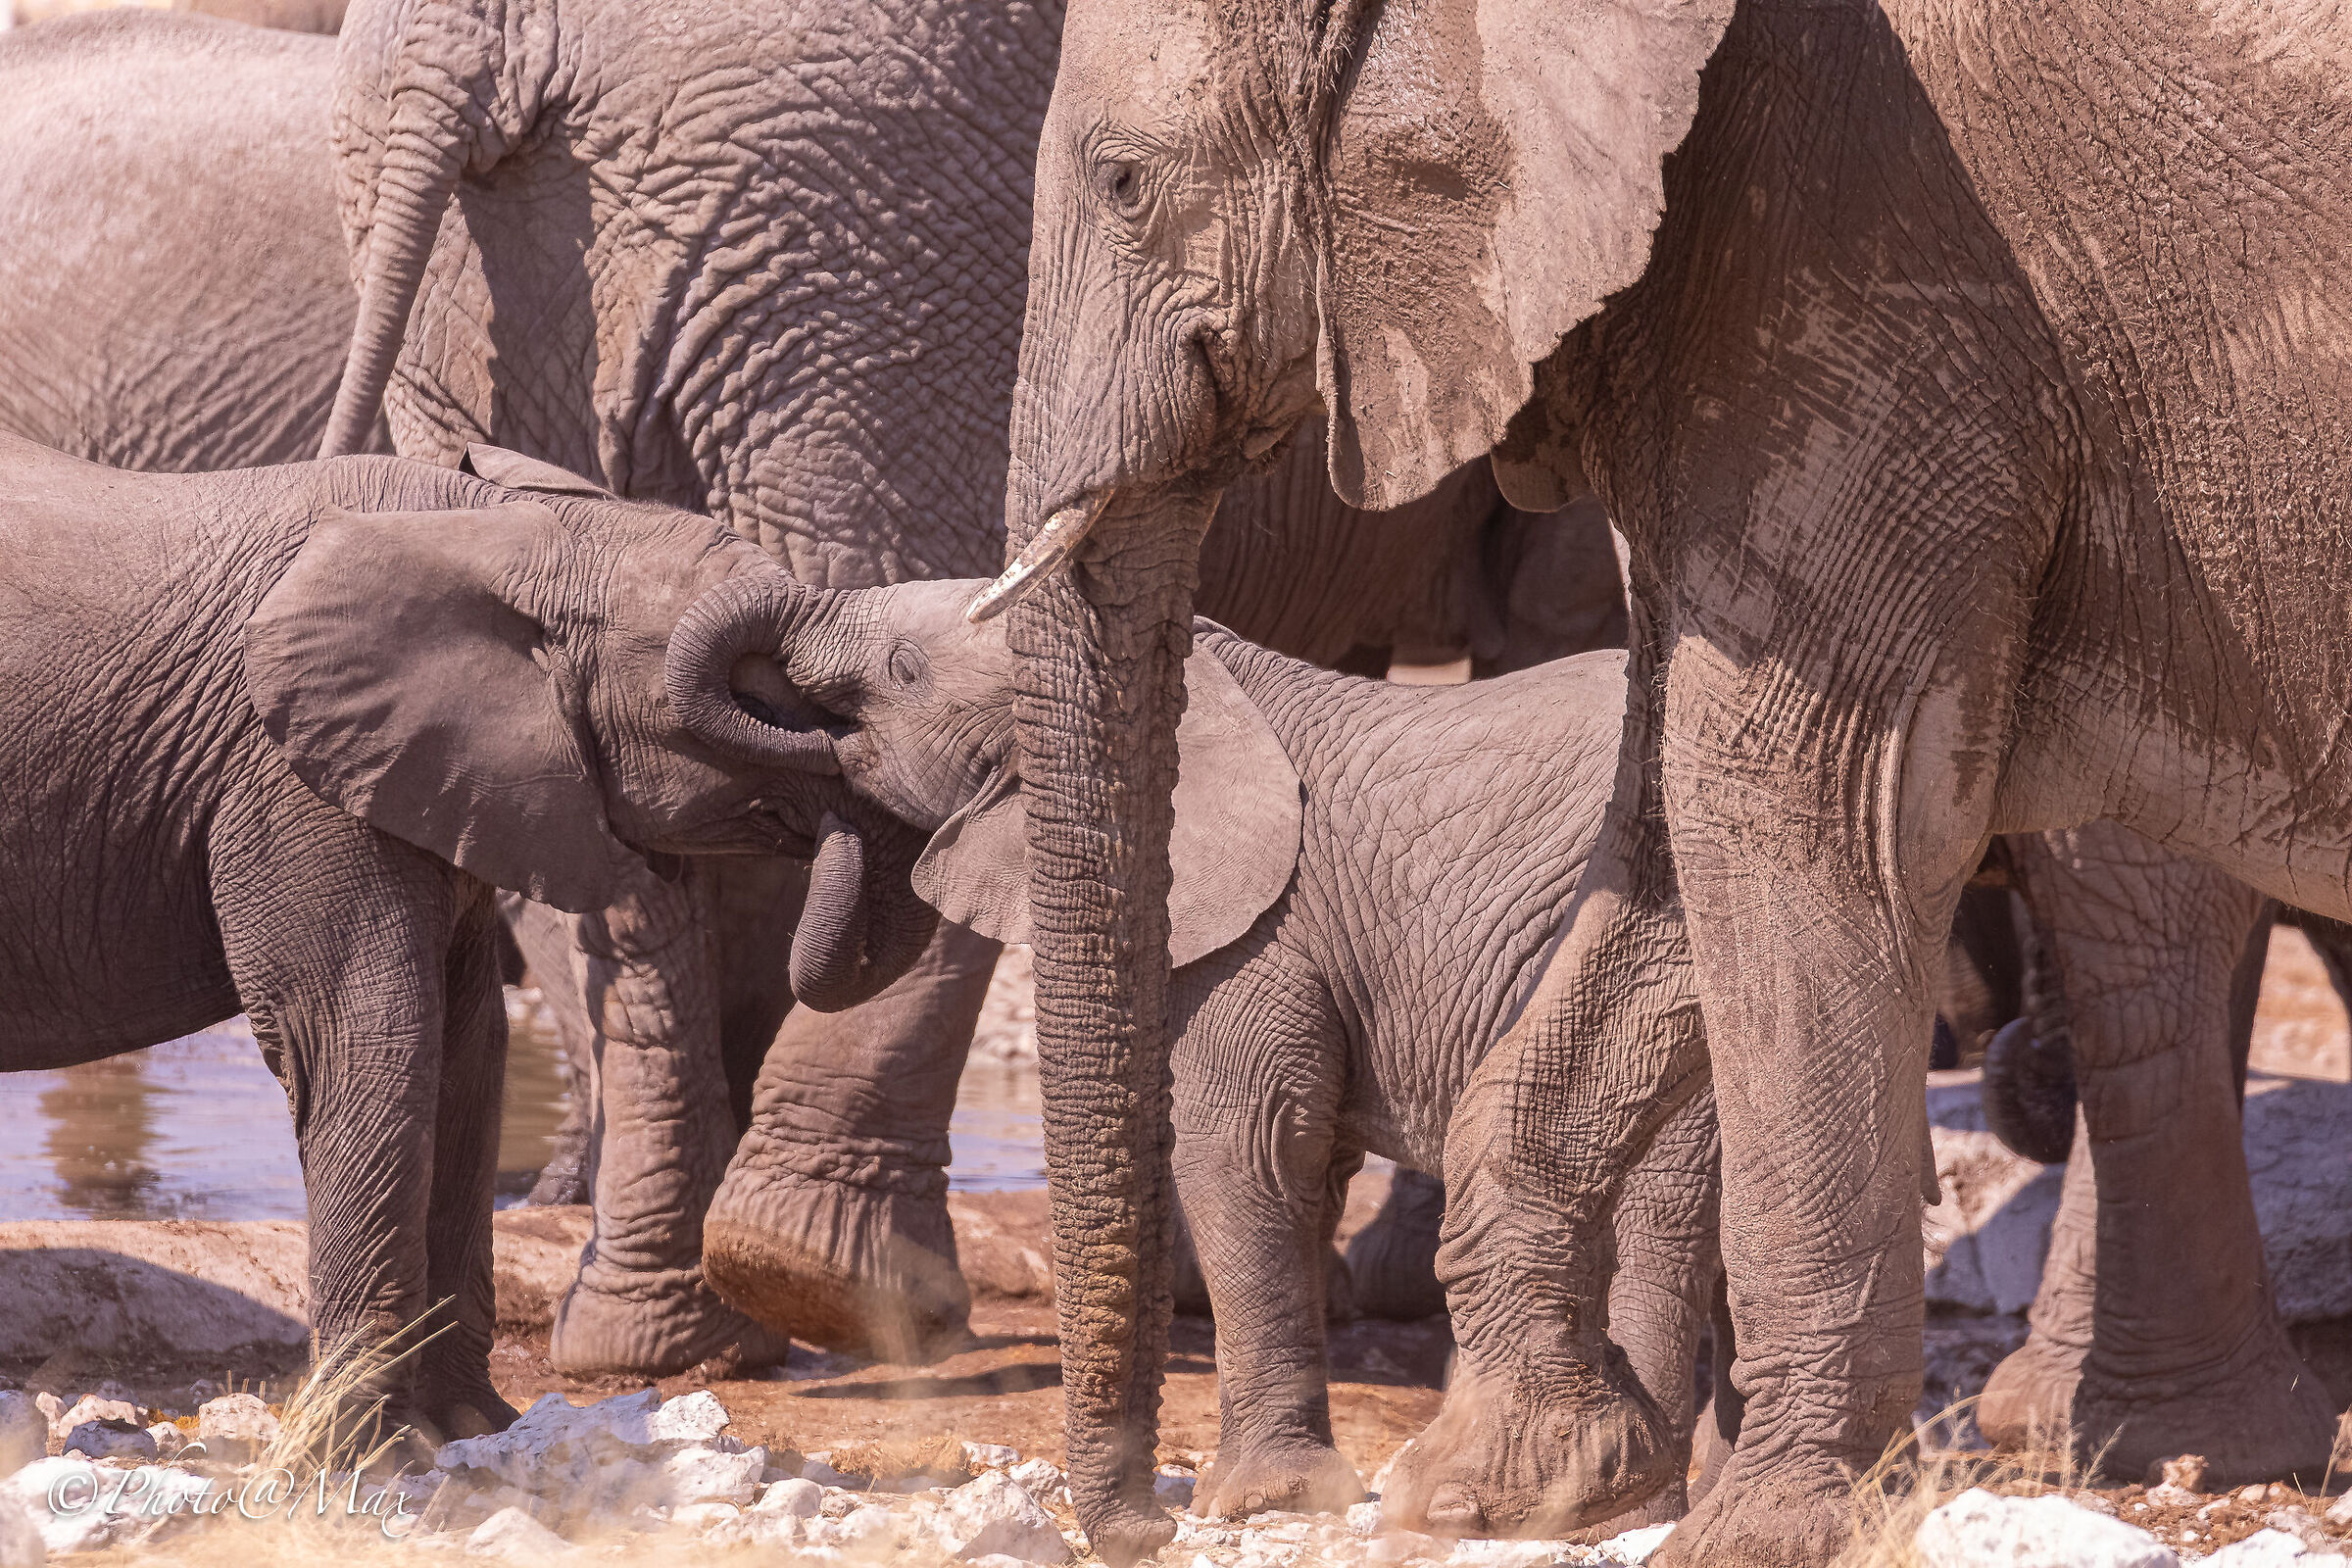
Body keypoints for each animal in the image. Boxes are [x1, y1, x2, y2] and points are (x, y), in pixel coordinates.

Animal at [0, 432, 921, 1444]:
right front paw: (366, 1452)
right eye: (757, 690)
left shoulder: (455, 778)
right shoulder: (292, 776)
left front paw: (472, 1428)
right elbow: (373, 1036)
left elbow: (470, 1047)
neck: (504, 526)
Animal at [971, 0, 2352, 1560]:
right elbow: (1669, 848)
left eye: (1127, 185)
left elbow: (1804, 806)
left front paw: (1758, 1527)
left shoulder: (1863, 289)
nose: (1137, 1520)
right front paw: (1511, 1484)